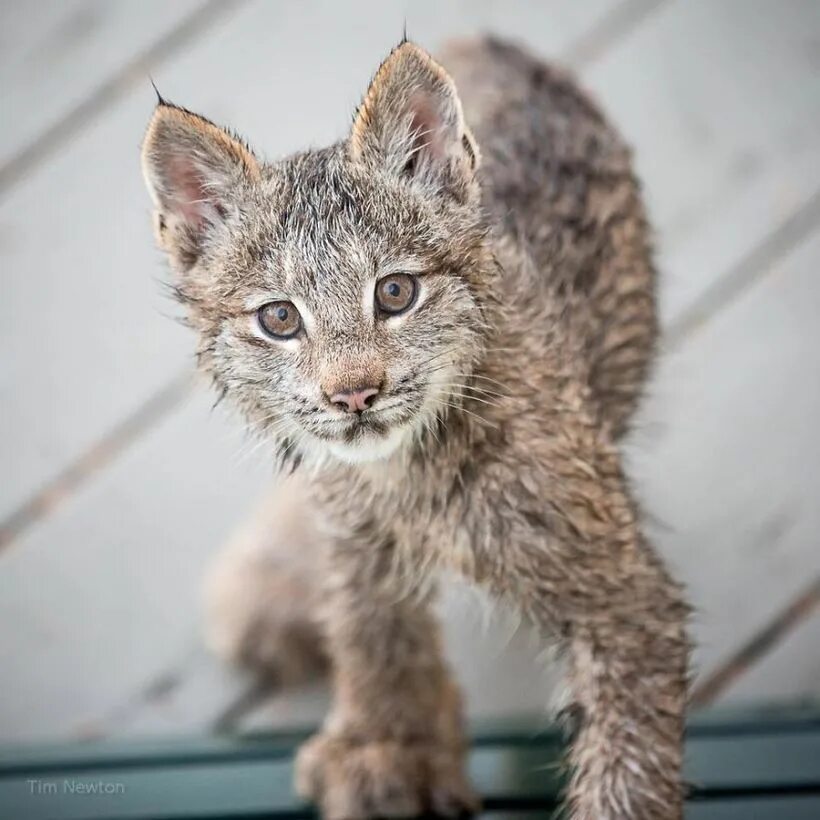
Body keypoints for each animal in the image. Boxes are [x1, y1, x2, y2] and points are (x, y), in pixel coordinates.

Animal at [143, 35, 692, 816]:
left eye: (396, 293)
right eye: (279, 318)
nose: (353, 395)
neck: (405, 473)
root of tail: (496, 40)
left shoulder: (625, 602)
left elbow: (627, 772)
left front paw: (395, 747)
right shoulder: (356, 534)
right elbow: (371, 630)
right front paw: (389, 746)